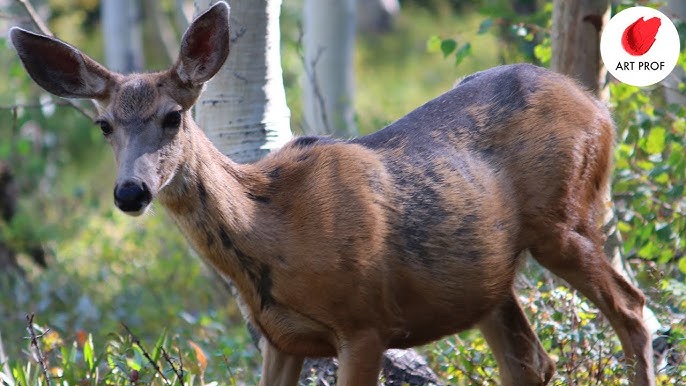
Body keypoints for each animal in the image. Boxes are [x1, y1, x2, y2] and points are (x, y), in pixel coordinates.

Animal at [9, 3, 656, 386]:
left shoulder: (365, 323)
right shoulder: (281, 339)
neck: (272, 231)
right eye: (103, 125)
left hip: (565, 219)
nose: (130, 191)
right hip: (486, 279)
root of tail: (599, 107)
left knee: (633, 310)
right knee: (531, 360)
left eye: (173, 117)